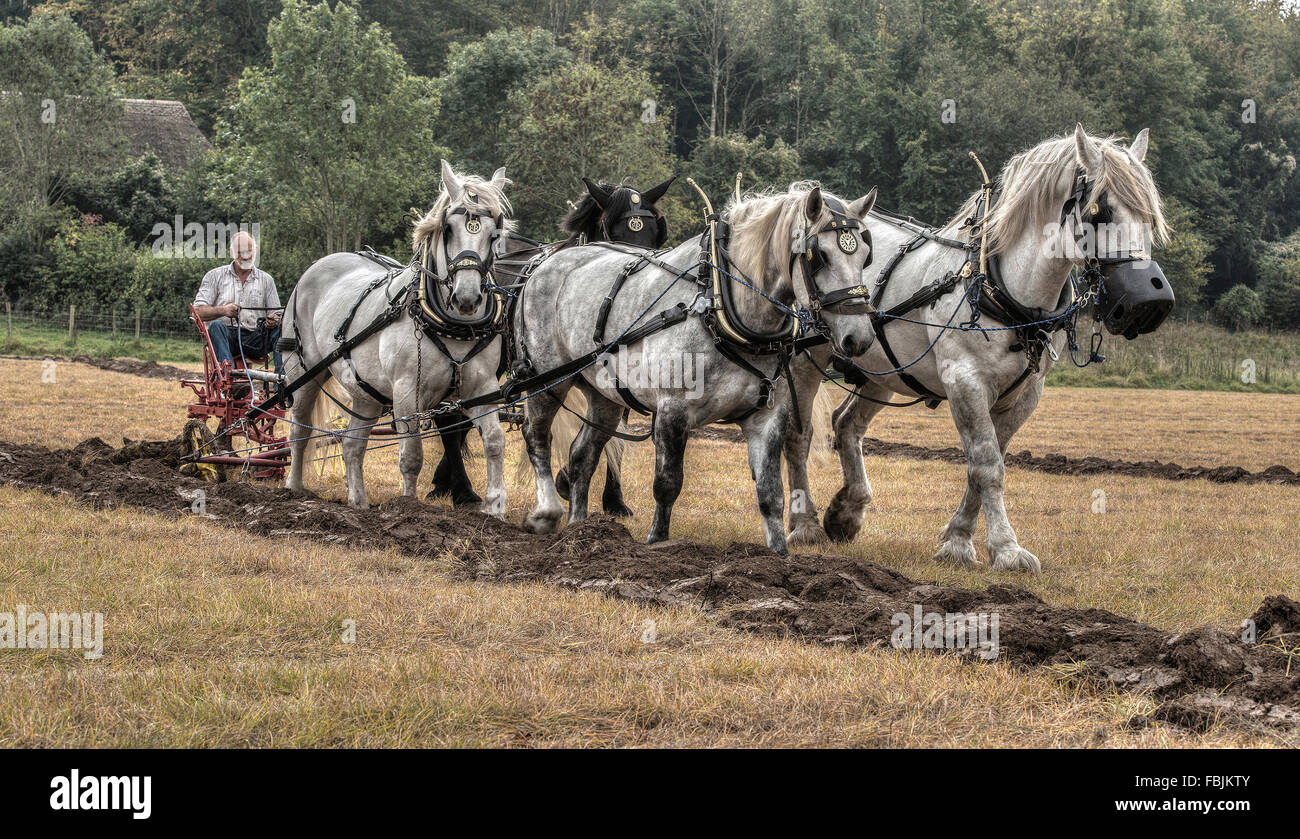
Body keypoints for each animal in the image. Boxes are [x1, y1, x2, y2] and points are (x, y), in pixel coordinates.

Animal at [282, 160, 513, 514]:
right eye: (448, 229)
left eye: (494, 234)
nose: (467, 297)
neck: (452, 324)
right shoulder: (407, 392)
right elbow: (412, 455)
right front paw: (408, 508)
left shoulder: (482, 388)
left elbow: (494, 441)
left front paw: (495, 507)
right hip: (303, 371)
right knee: (299, 430)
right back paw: (294, 490)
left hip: (366, 393)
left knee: (352, 445)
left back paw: (358, 502)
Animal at [427, 175, 676, 516]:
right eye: (612, 232)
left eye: (656, 234)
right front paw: (565, 481)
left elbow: (614, 436)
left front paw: (613, 499)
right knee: (451, 419)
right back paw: (462, 491)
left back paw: (444, 482)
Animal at [514, 181, 877, 553]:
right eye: (820, 255)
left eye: (866, 254)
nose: (859, 337)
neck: (718, 304)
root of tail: (546, 262)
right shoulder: (672, 410)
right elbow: (667, 484)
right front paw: (658, 543)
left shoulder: (766, 417)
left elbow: (770, 493)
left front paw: (778, 553)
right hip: (546, 380)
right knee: (536, 435)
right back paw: (546, 513)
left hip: (606, 397)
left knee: (582, 455)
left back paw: (578, 529)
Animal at [782, 125, 1173, 572]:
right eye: (1099, 211)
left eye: (1150, 215)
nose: (1149, 302)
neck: (1002, 290)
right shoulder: (965, 381)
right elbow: (987, 466)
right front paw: (1005, 548)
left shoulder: (1025, 393)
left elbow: (983, 463)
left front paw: (958, 540)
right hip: (805, 359)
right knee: (798, 435)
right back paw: (805, 524)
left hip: (881, 367)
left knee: (848, 424)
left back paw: (847, 511)